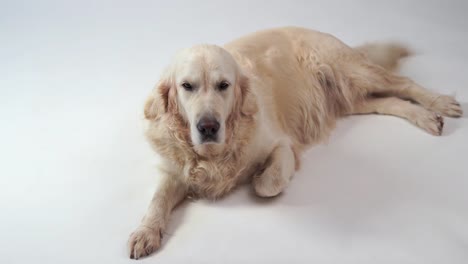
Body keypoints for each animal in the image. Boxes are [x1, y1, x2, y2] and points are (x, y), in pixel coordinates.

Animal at [126, 27, 462, 260]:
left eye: (224, 86)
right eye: (187, 86)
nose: (208, 127)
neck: (214, 152)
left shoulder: (281, 144)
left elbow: (267, 183)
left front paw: (255, 177)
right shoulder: (172, 170)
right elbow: (157, 200)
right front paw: (145, 232)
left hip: (354, 72)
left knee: (403, 84)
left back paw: (439, 104)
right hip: (352, 98)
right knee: (389, 102)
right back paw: (425, 117)